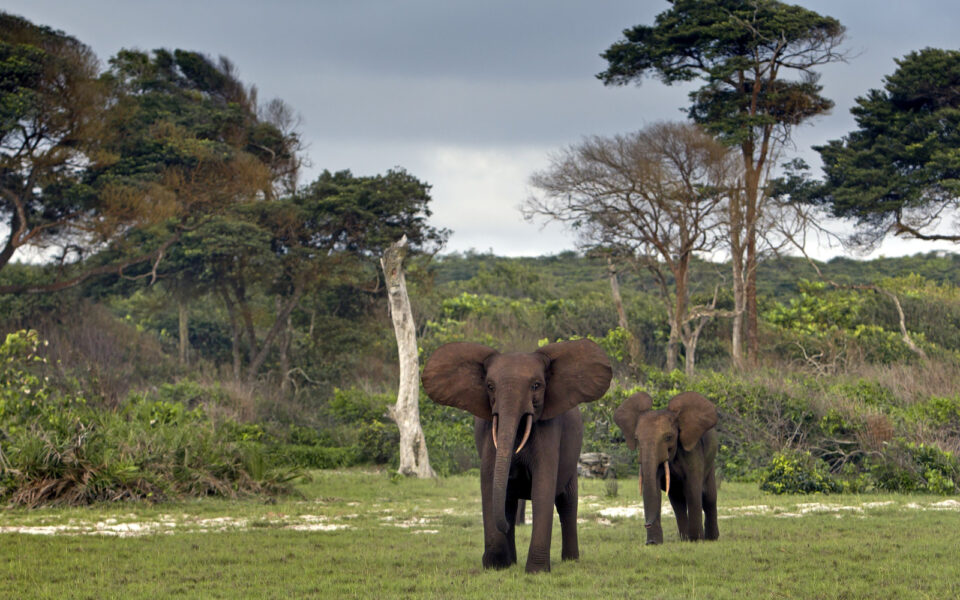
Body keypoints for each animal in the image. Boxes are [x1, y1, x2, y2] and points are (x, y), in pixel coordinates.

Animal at [424, 338, 612, 572]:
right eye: (490, 386)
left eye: (536, 386)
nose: (488, 558)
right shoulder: (489, 431)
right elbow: (489, 481)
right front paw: (495, 565)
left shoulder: (549, 427)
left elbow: (543, 485)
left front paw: (536, 571)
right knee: (511, 502)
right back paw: (510, 561)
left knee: (567, 502)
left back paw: (570, 560)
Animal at [616, 392, 720, 548]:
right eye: (636, 438)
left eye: (669, 437)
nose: (647, 524)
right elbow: (655, 488)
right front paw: (654, 543)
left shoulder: (692, 450)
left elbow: (692, 489)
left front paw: (697, 541)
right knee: (677, 501)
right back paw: (685, 539)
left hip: (710, 461)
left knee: (709, 497)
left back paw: (711, 539)